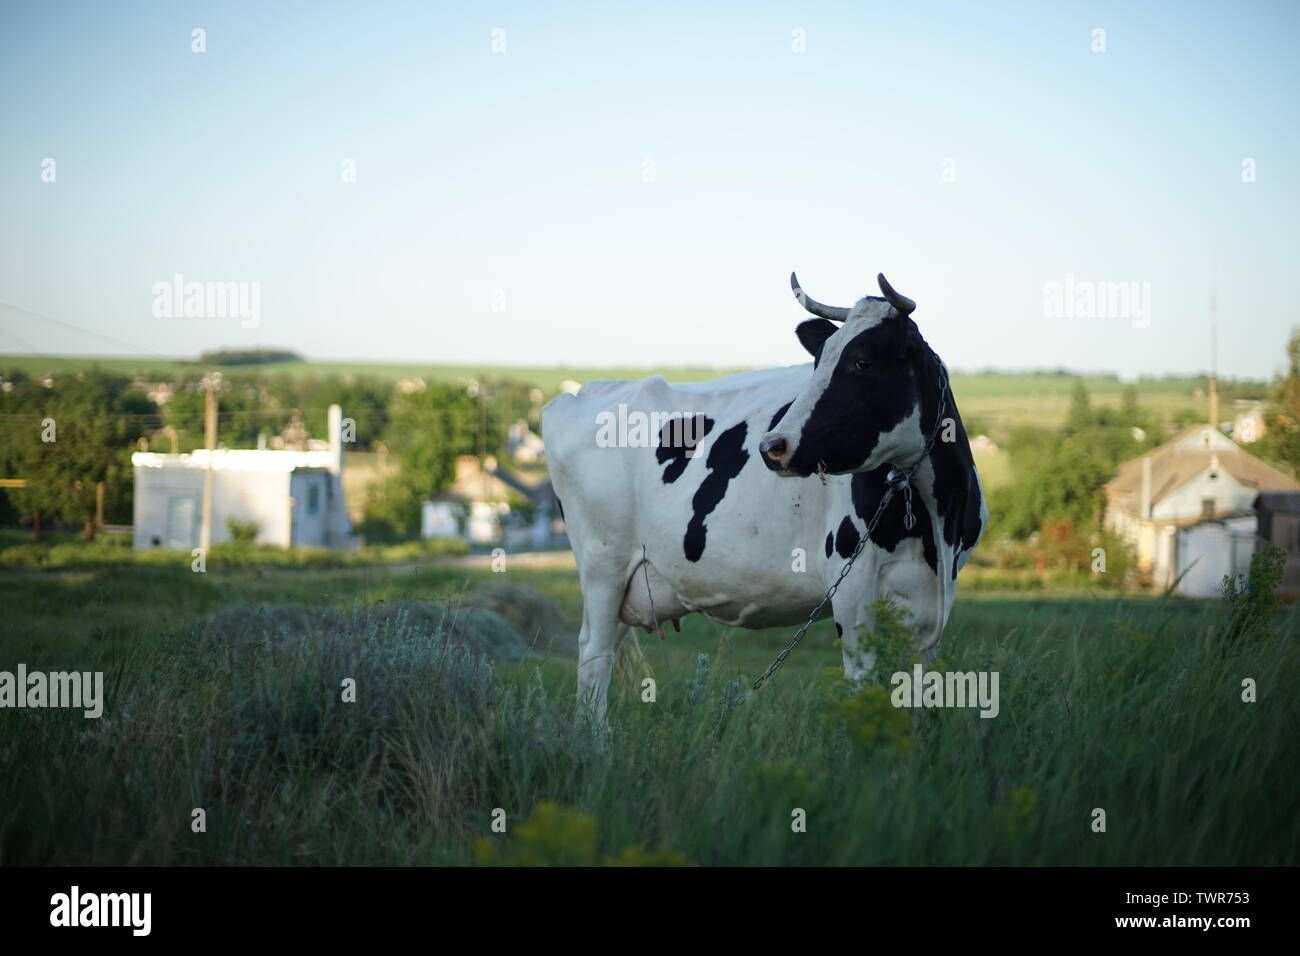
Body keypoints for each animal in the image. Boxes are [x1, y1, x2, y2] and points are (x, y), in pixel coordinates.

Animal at [542, 273, 986, 722]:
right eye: (818, 360)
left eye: (861, 362)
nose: (772, 445)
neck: (936, 525)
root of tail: (594, 388)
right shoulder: (854, 592)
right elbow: (863, 689)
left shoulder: (932, 605)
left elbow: (917, 696)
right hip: (603, 564)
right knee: (594, 655)